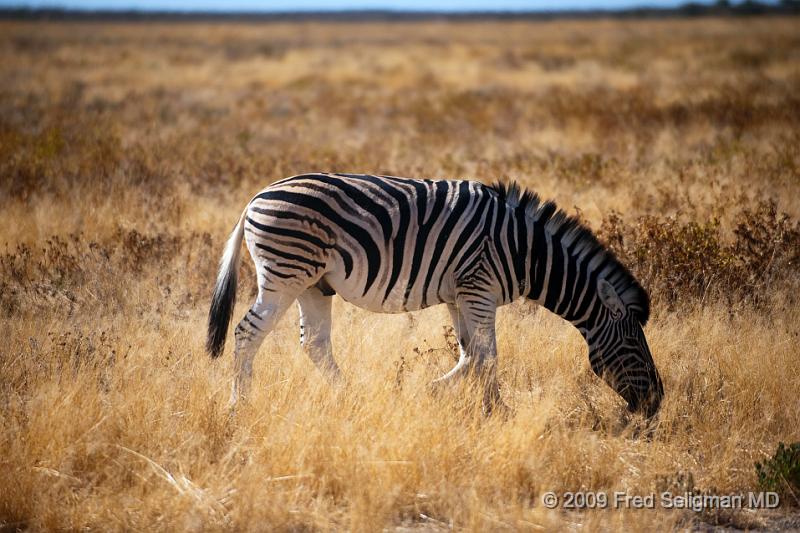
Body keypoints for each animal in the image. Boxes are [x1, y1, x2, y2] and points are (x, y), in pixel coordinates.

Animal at [205, 172, 664, 418]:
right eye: (633, 346)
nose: (656, 404)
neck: (525, 251)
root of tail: (254, 198)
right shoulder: (479, 288)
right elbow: (487, 355)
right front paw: (497, 412)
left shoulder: (460, 295)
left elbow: (470, 354)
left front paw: (438, 394)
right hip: (285, 273)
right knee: (247, 333)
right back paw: (237, 406)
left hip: (313, 285)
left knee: (314, 343)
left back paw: (349, 396)